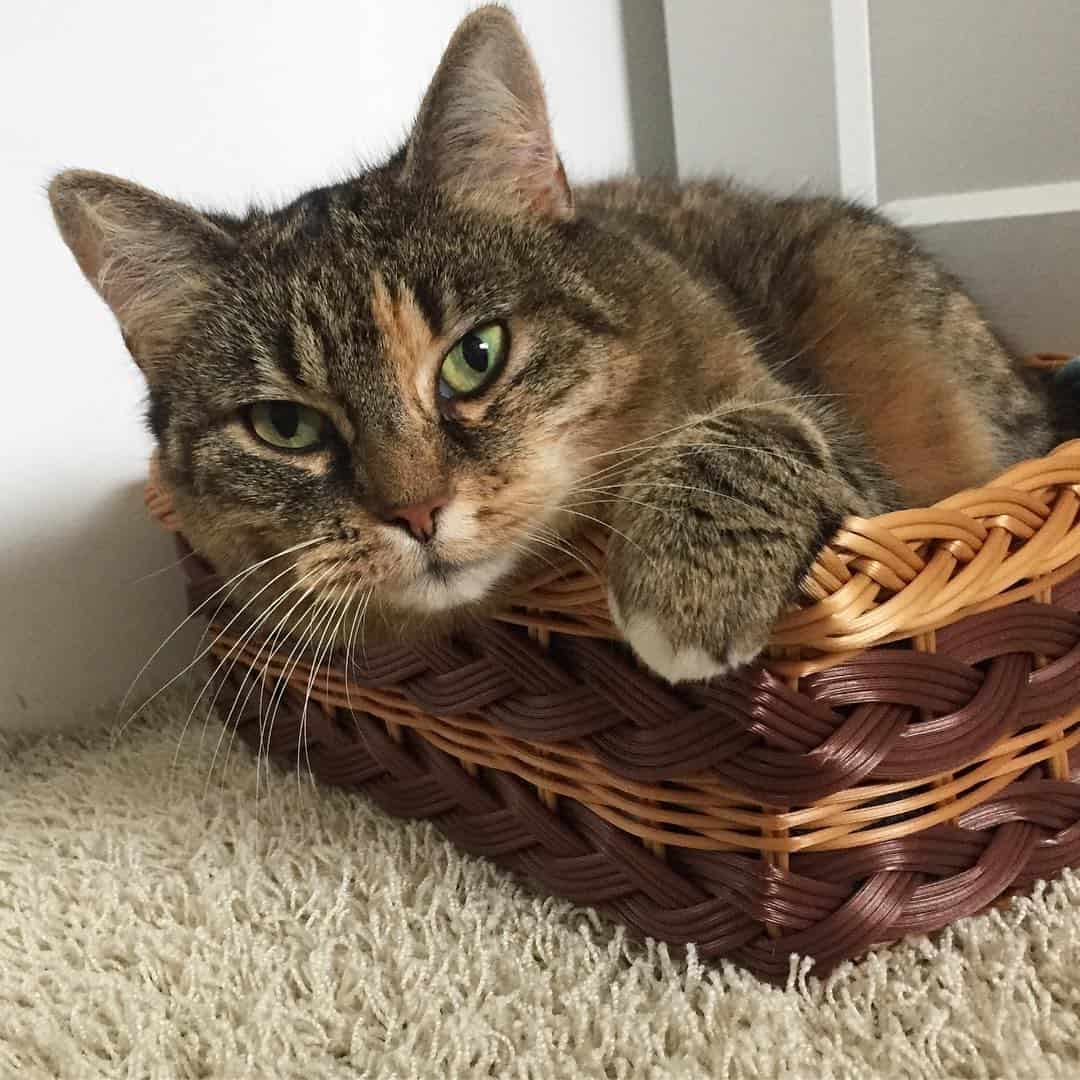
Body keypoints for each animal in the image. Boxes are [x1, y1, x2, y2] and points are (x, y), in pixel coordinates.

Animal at [48, 6, 1062, 682]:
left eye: (477, 356)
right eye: (284, 427)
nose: (415, 512)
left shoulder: (868, 484)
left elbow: (757, 429)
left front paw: (682, 584)